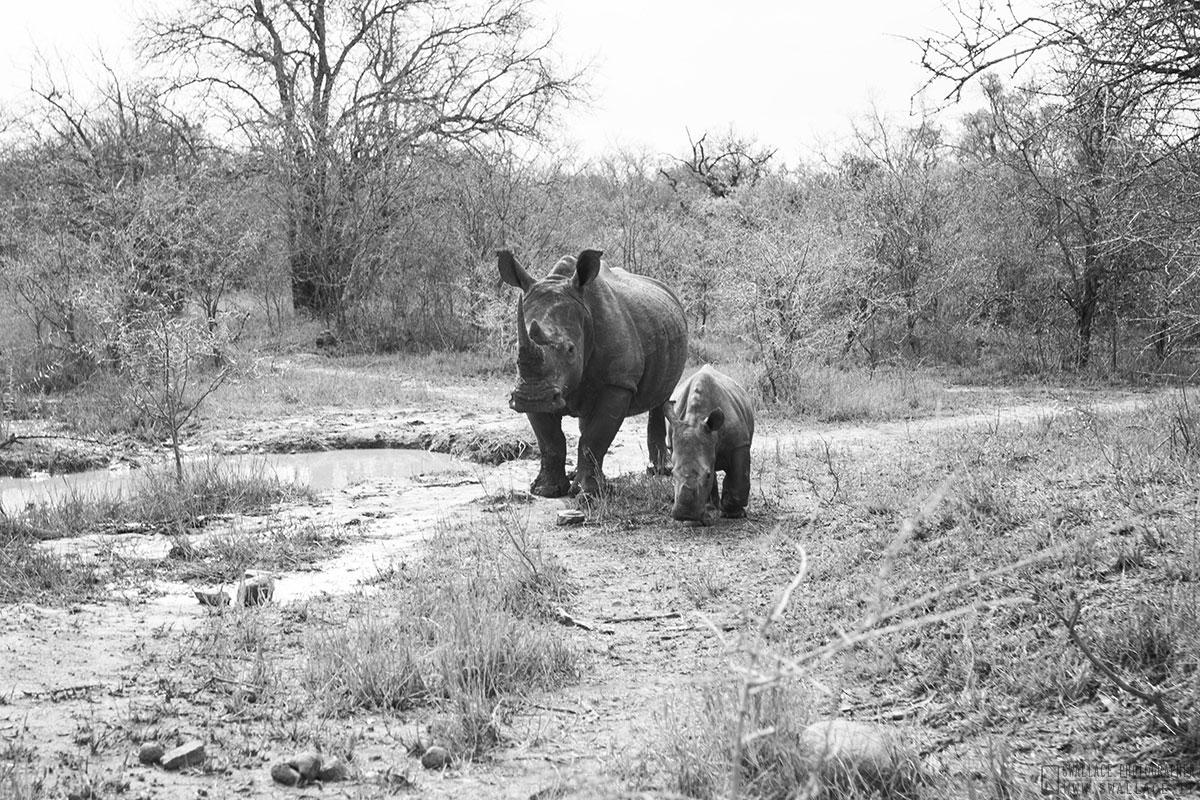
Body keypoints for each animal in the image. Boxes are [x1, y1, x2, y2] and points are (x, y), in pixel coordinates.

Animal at [667, 367, 748, 522]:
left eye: (708, 475)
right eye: (672, 474)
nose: (685, 514)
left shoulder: (739, 444)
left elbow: (739, 477)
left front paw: (733, 514)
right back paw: (710, 508)